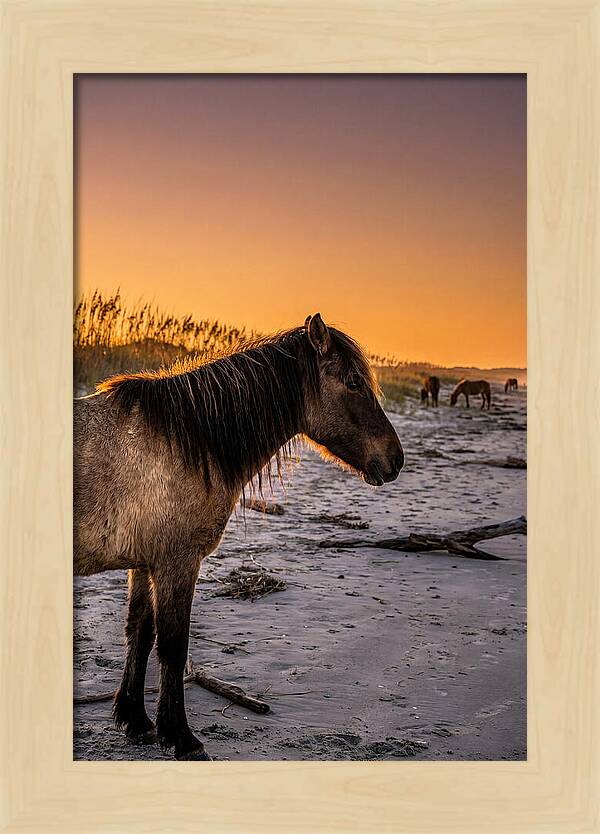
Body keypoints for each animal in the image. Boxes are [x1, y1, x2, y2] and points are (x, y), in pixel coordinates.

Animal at [74, 313, 404, 760]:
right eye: (353, 382)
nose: (396, 459)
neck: (186, 441)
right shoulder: (177, 563)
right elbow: (174, 646)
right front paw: (181, 737)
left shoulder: (145, 563)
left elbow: (140, 633)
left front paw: (136, 721)